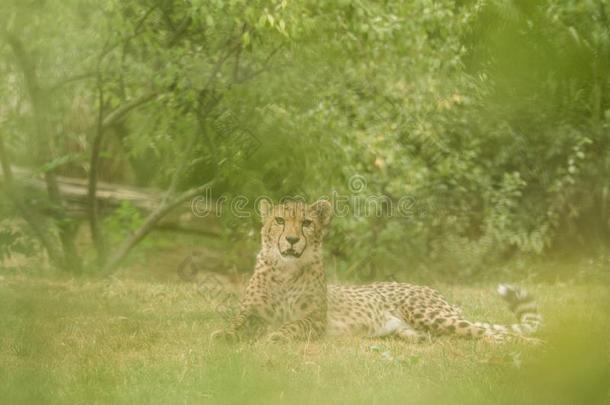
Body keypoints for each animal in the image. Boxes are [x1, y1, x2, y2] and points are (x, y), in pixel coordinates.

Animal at [210, 199, 540, 340]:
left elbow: (291, 326)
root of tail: (430, 288)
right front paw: (224, 334)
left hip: (432, 314)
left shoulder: (314, 319)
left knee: (494, 333)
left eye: (306, 223)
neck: (286, 271)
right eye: (279, 221)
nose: (291, 240)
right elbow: (237, 323)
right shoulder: (250, 311)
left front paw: (275, 336)